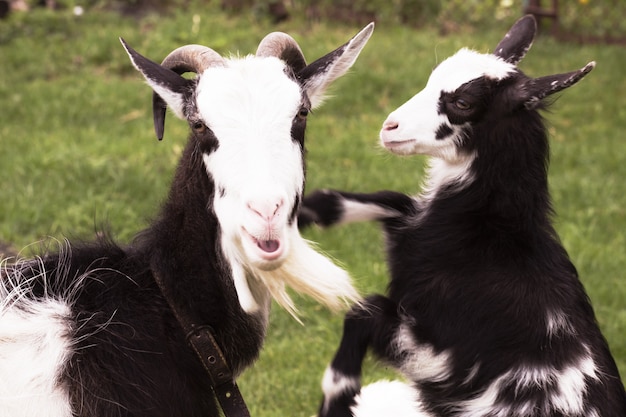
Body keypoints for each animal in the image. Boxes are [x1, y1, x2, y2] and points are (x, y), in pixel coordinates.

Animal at [298, 16, 624, 416]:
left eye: (463, 102)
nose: (390, 127)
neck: (490, 235)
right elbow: (393, 202)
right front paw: (307, 211)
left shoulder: (436, 356)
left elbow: (366, 310)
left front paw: (340, 395)